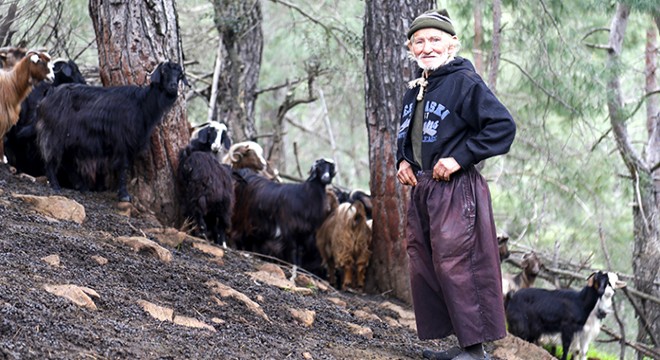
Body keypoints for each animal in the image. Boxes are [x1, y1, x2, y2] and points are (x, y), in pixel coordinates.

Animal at [36, 60, 188, 201]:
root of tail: (49, 94)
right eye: (164, 72)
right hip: (54, 132)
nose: (173, 86)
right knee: (51, 157)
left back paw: (81, 186)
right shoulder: (122, 141)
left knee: (66, 160)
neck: (142, 103)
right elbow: (123, 166)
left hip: (69, 137)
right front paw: (124, 195)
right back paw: (55, 185)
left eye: (179, 75)